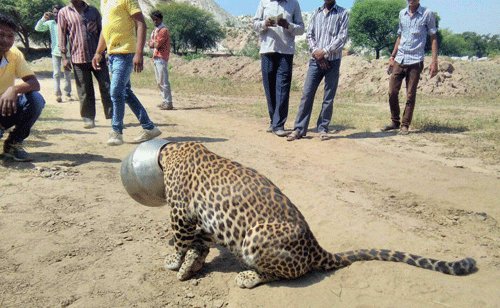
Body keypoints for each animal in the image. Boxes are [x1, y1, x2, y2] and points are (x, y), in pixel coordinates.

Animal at [158, 142, 478, 288]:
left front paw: (174, 262)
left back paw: (248, 276)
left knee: (284, 273)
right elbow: (199, 244)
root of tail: (315, 246)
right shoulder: (201, 219)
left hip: (256, 236)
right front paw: (190, 266)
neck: (174, 149)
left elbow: (180, 241)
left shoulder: (179, 212)